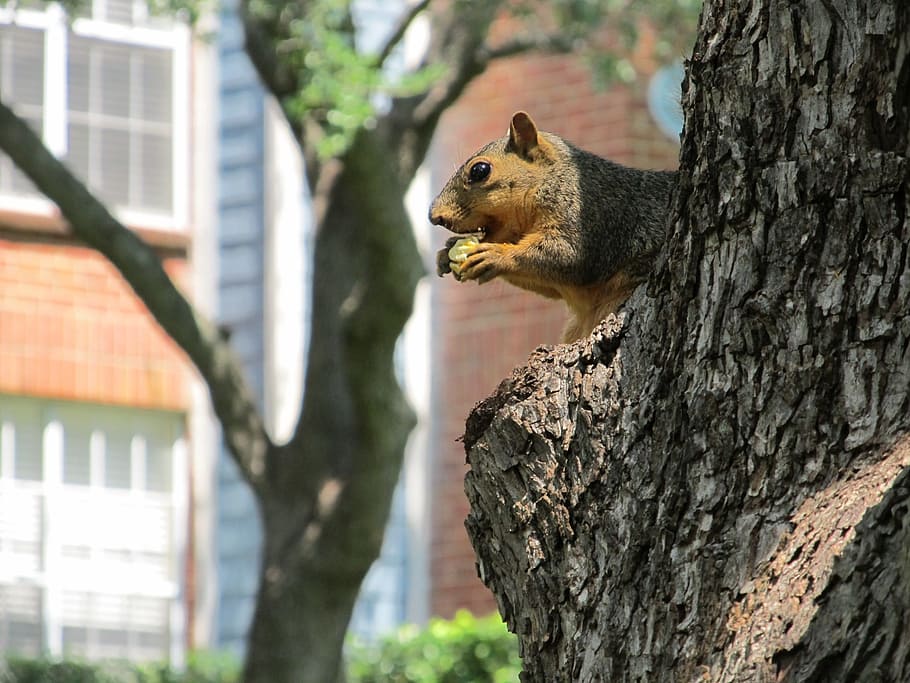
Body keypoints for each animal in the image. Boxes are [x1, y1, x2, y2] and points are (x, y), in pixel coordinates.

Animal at [429, 111, 677, 342]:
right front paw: (445, 253)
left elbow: (570, 255)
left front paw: (495, 255)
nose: (434, 216)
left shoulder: (589, 214)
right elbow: (549, 285)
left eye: (479, 170)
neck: (551, 180)